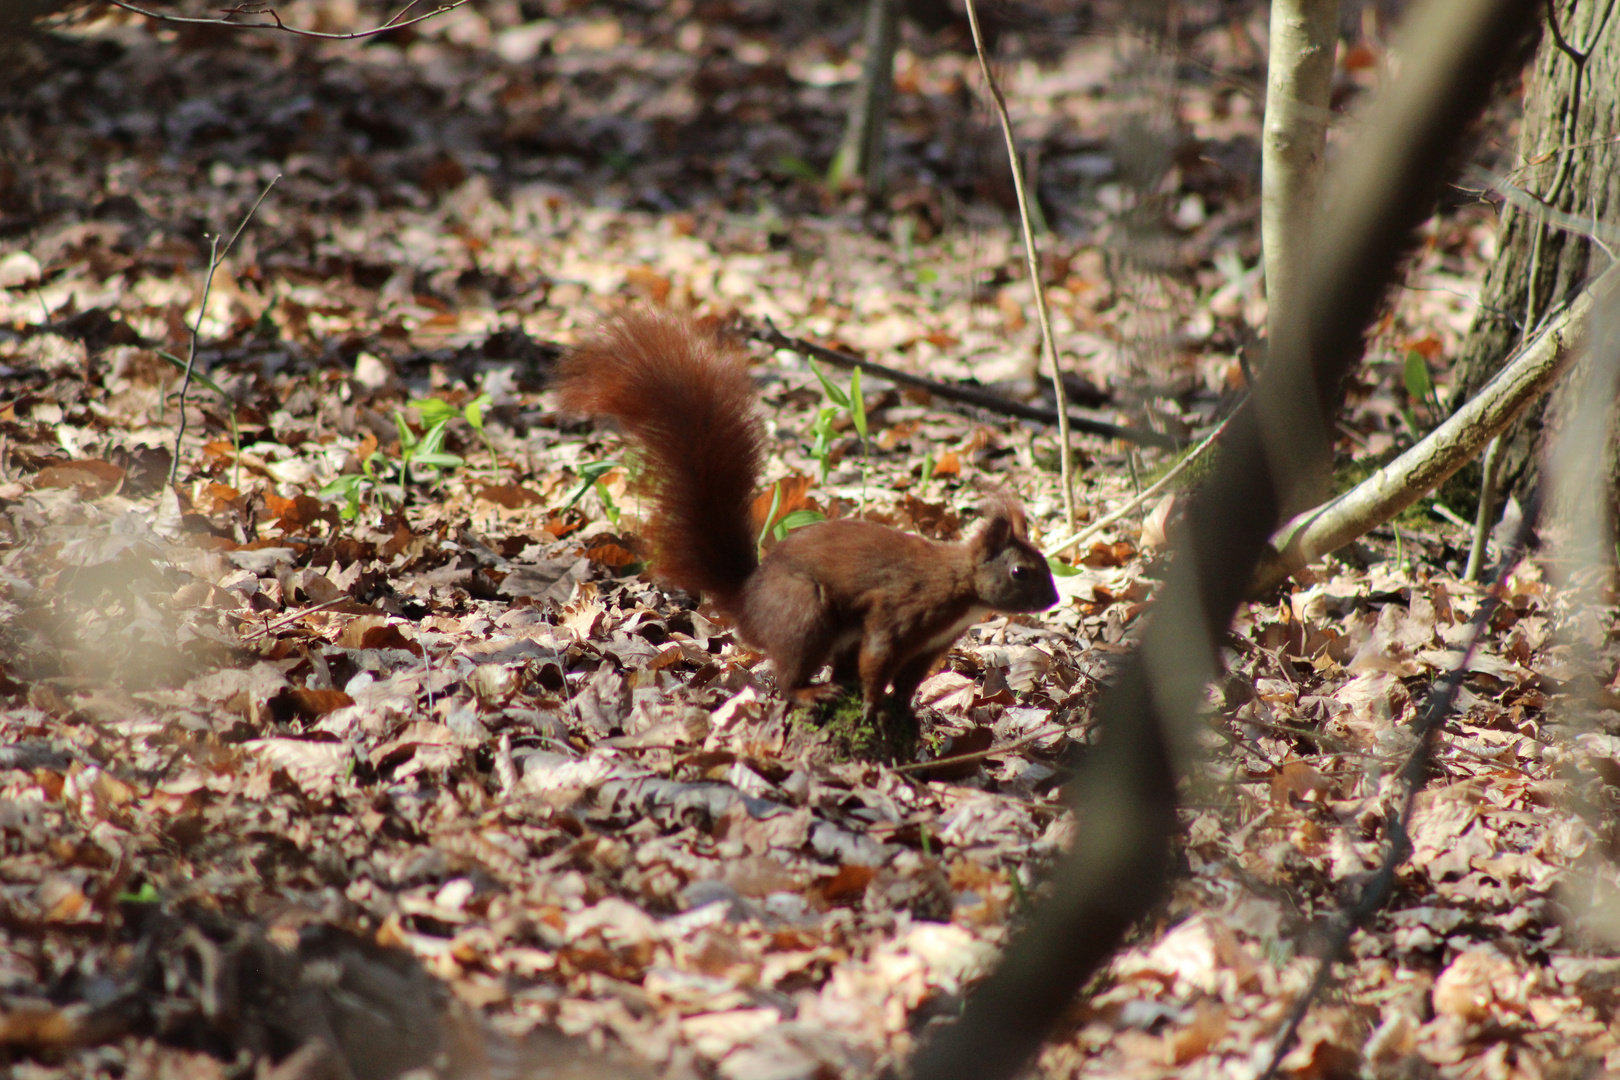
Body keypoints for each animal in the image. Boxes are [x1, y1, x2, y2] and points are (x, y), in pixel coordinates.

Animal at [557, 307, 1062, 722]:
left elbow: (907, 681)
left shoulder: (930, 646)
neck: (958, 585)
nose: (1053, 601)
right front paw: (875, 707)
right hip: (804, 612)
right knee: (789, 678)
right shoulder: (898, 611)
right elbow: (879, 661)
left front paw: (902, 711)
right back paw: (810, 693)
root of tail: (749, 605)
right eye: (1021, 571)